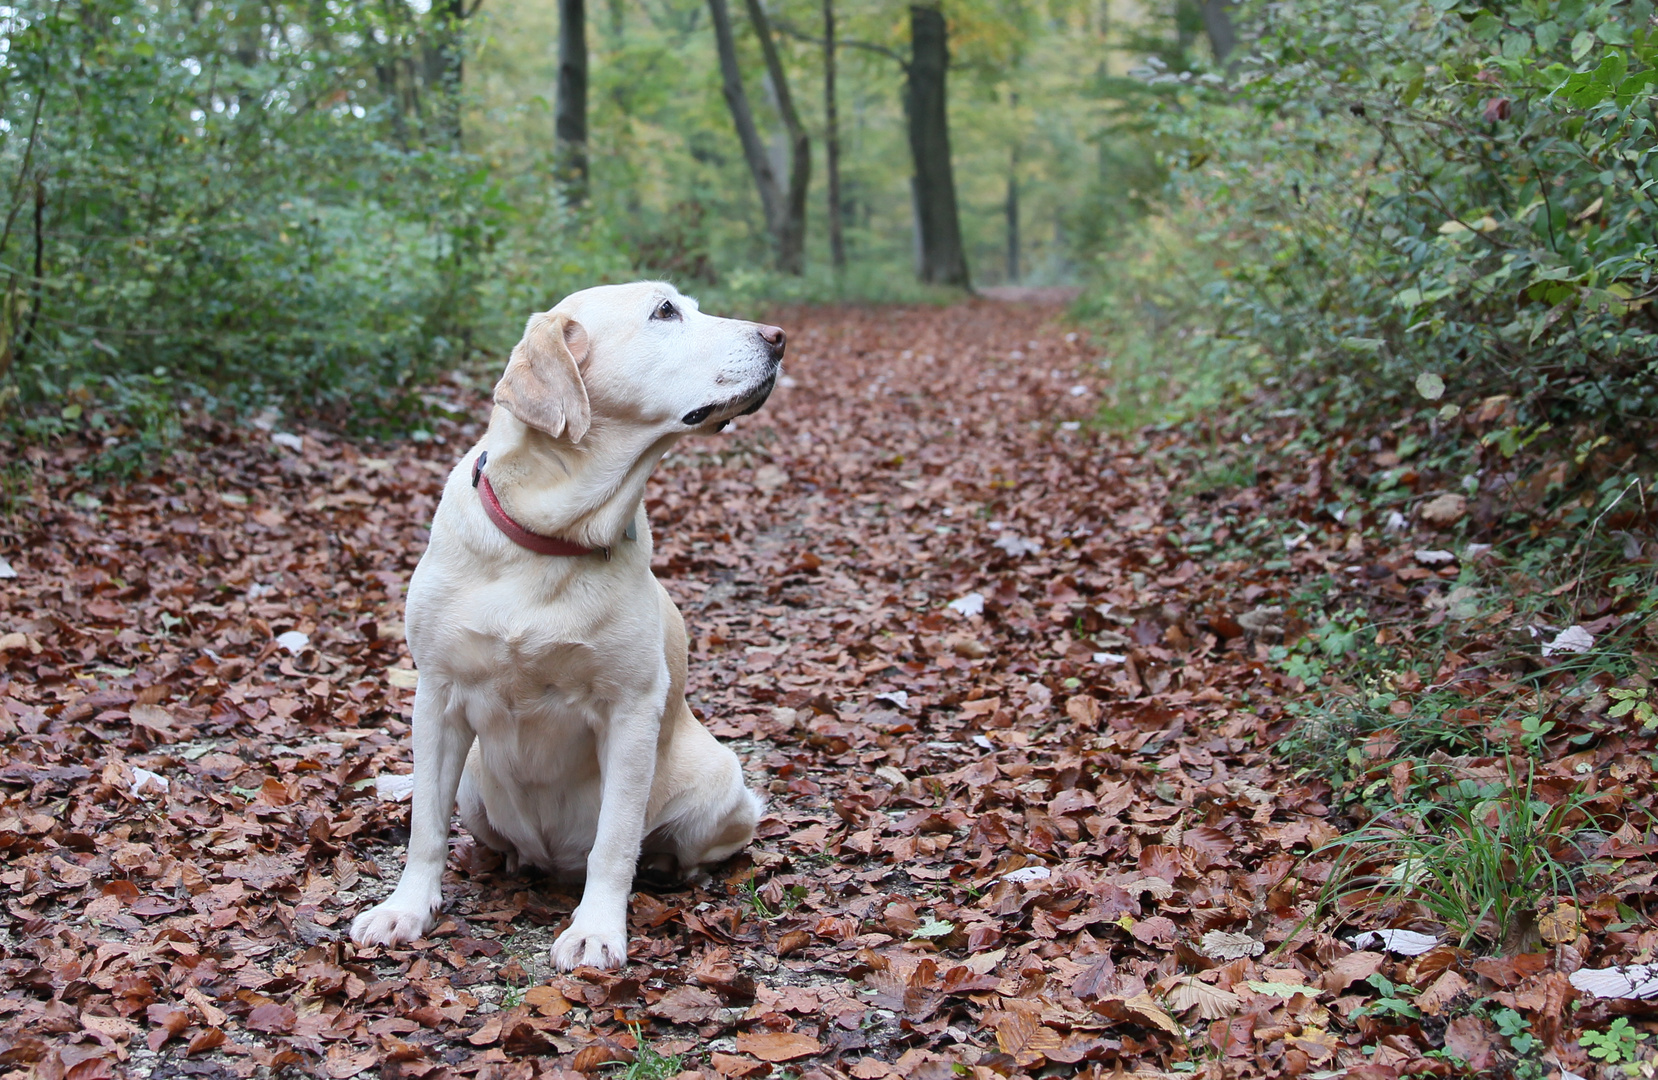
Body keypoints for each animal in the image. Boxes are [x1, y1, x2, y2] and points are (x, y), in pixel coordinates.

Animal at [351, 280, 775, 968]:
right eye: (665, 311)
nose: (778, 337)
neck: (550, 539)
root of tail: (553, 864)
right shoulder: (437, 697)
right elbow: (424, 827)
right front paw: (405, 909)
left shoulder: (631, 708)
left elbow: (616, 839)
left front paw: (597, 929)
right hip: (474, 785)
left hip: (722, 788)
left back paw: (666, 869)